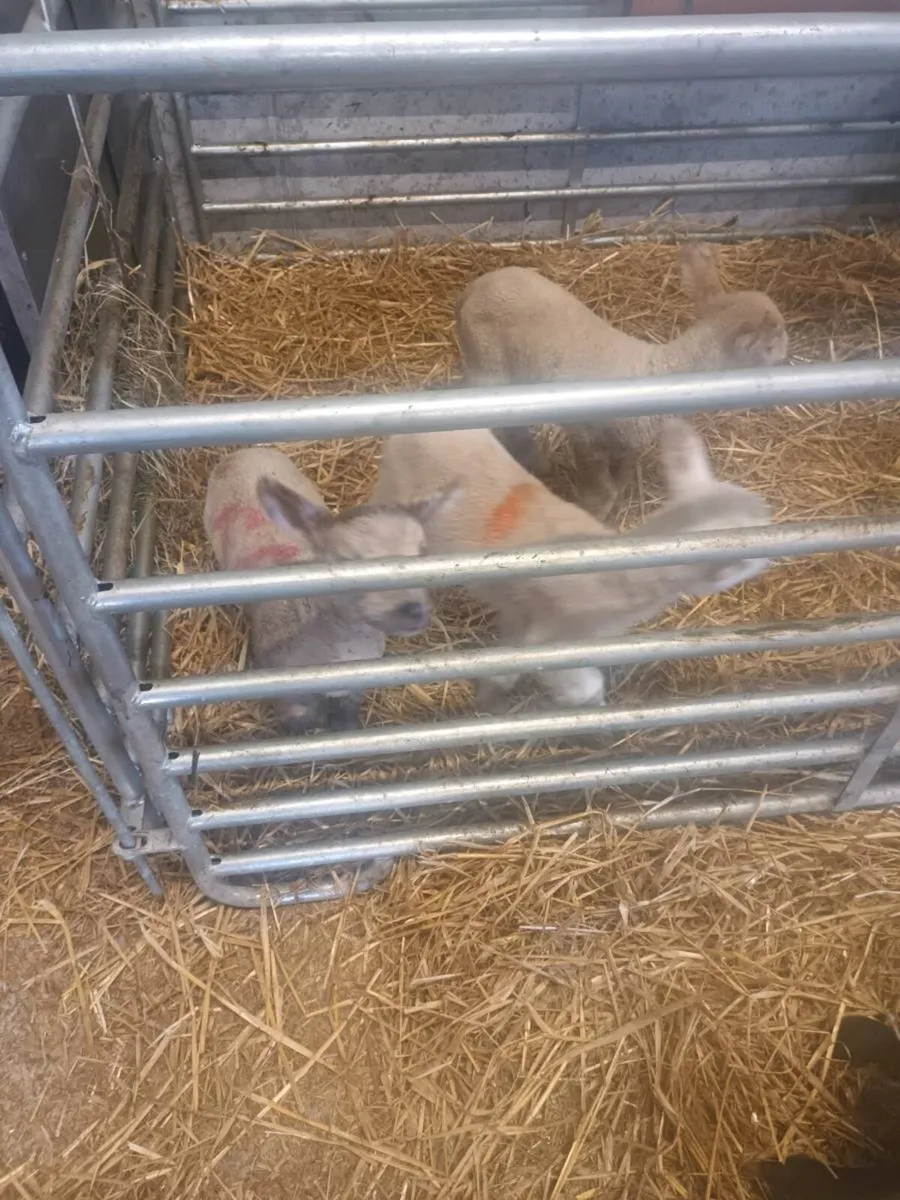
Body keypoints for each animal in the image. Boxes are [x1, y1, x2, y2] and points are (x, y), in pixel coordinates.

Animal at [204, 447, 457, 733]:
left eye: (422, 553)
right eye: (346, 560)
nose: (413, 610)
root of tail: (246, 450)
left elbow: (346, 718)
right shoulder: (289, 696)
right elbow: (302, 723)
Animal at [455, 242, 788, 518]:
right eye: (773, 342)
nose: (787, 351)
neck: (660, 370)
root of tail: (474, 288)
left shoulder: (627, 443)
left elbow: (622, 478)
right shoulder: (585, 436)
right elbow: (602, 491)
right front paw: (594, 512)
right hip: (488, 362)